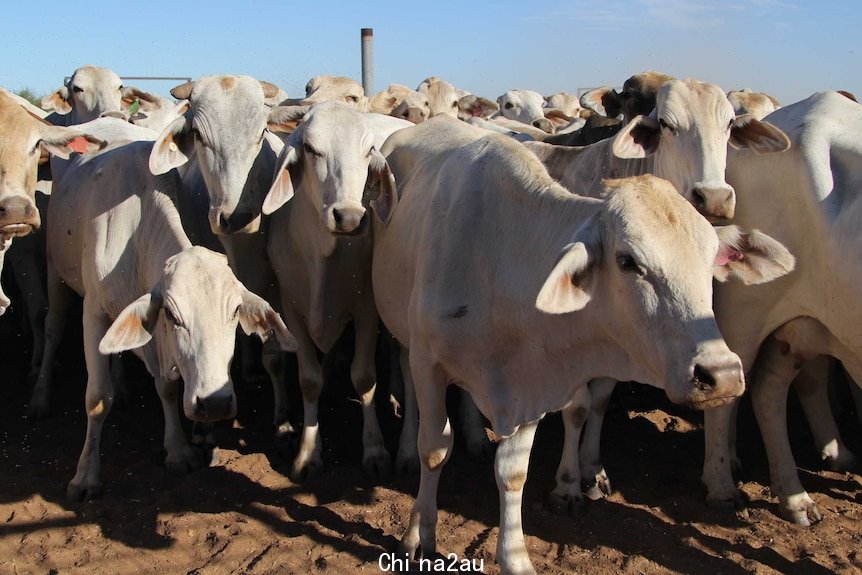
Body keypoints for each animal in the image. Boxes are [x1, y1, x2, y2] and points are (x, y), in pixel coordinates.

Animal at [38, 140, 294, 500]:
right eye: (174, 315)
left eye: (234, 312)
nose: (214, 403)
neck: (136, 233)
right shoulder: (95, 313)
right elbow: (97, 398)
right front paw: (85, 476)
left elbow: (168, 387)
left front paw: (177, 451)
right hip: (54, 269)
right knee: (52, 327)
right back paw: (41, 395)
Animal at [374, 116, 800, 572]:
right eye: (628, 261)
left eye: (711, 260)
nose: (721, 374)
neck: (499, 260)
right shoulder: (429, 362)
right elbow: (434, 449)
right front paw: (418, 534)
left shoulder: (533, 378)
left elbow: (513, 472)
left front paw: (515, 555)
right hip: (402, 337)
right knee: (408, 389)